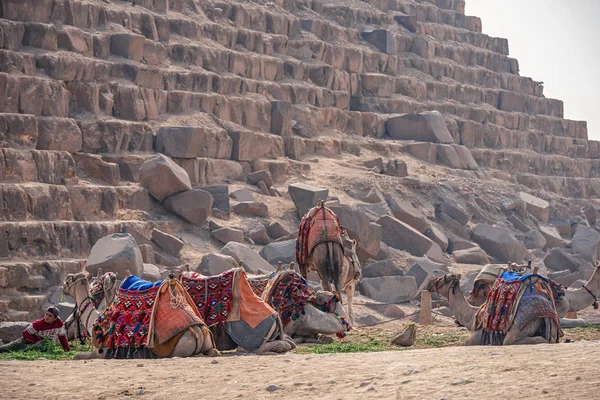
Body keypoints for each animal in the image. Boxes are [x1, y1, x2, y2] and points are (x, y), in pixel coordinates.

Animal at [62, 272, 220, 360]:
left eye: (68, 279)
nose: (63, 287)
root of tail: (198, 331)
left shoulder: (102, 352)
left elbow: (76, 356)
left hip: (179, 349)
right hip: (207, 342)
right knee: (213, 352)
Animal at [428, 274, 560, 346]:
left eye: (442, 278)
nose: (429, 283)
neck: (471, 318)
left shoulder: (474, 339)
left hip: (522, 325)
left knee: (513, 340)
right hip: (552, 326)